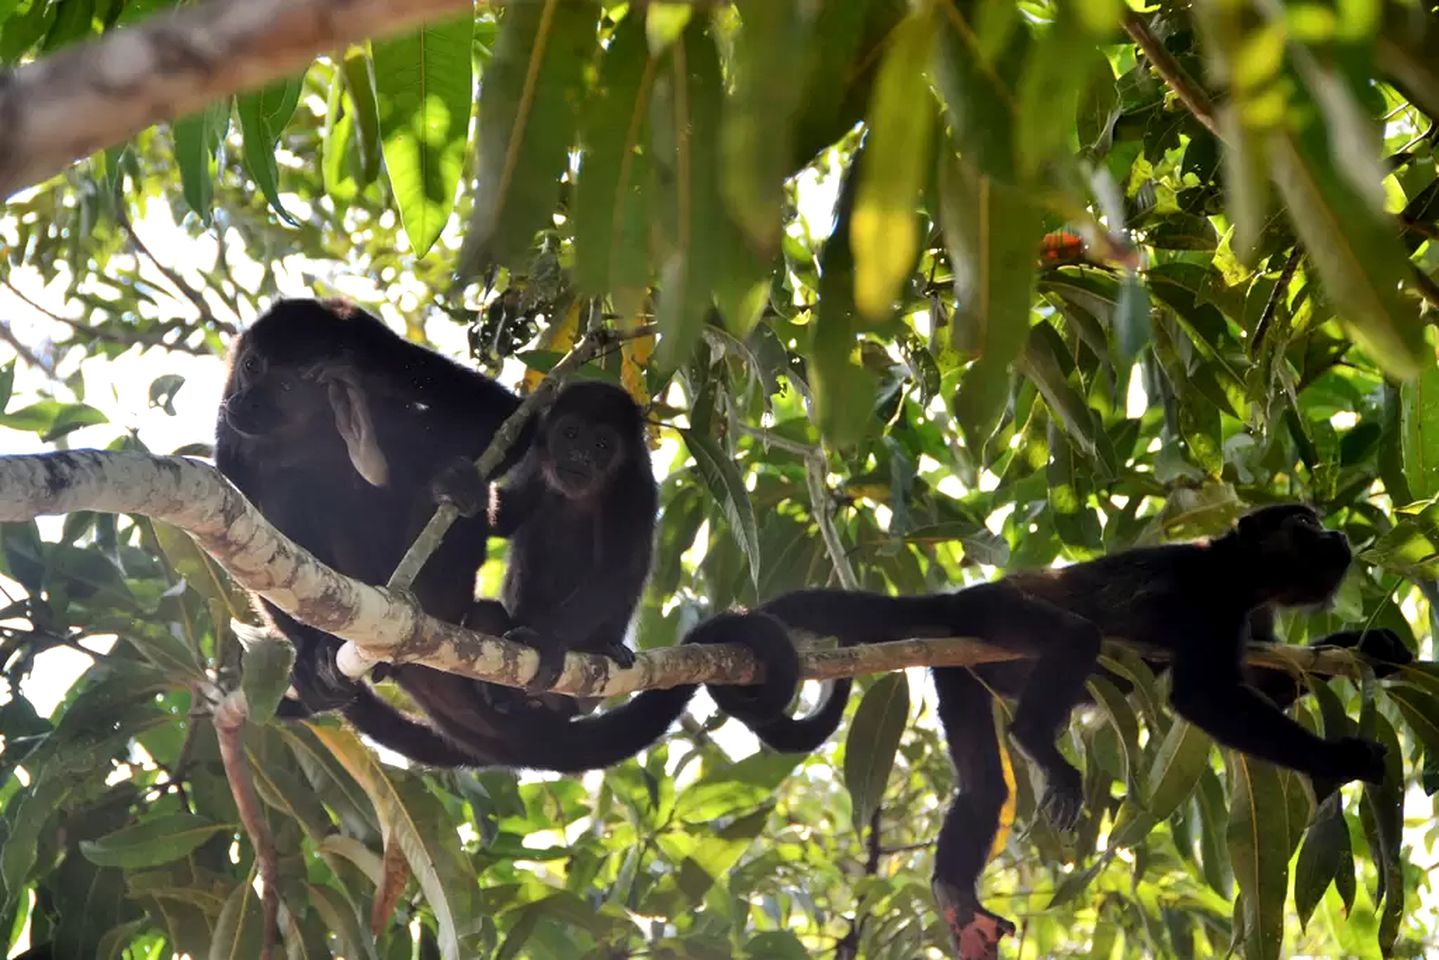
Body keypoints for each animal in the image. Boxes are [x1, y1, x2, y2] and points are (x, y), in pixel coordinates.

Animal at [713, 503, 1410, 960]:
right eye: (1304, 524)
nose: (1338, 531)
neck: (1241, 579)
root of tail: (957, 601)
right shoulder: (1202, 594)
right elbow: (1201, 695)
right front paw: (1344, 759)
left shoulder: (1256, 620)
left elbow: (1268, 684)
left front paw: (1371, 648)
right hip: (993, 614)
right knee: (1076, 637)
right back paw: (1035, 741)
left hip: (960, 671)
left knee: (986, 791)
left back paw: (955, 894)